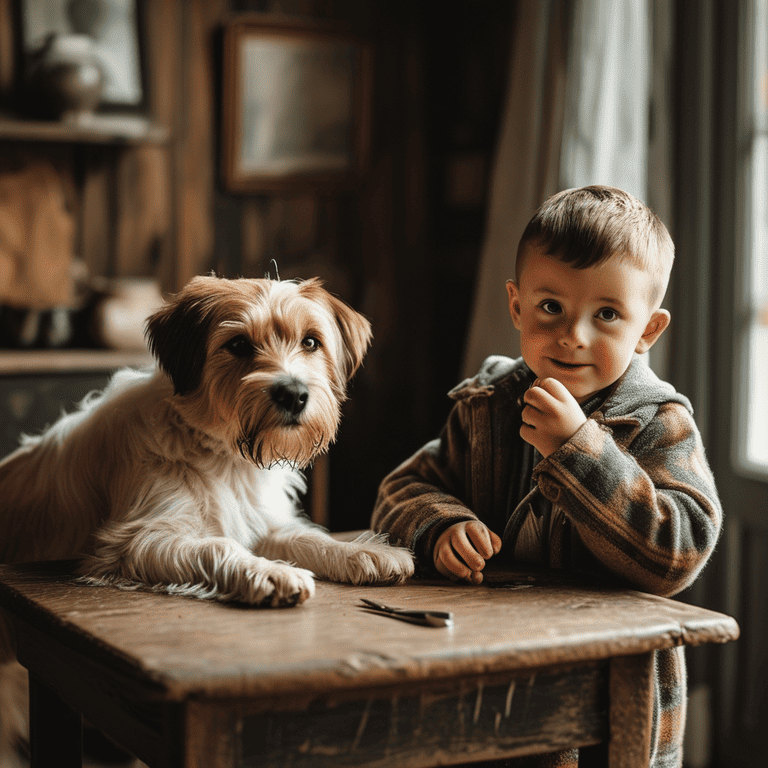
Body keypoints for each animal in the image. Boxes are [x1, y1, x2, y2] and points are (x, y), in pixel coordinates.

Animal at [0, 274, 414, 760]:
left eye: (311, 342)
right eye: (238, 344)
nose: (294, 394)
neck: (224, 455)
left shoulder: (263, 524)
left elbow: (308, 539)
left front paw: (362, 554)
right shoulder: (135, 541)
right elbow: (219, 545)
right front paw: (269, 574)